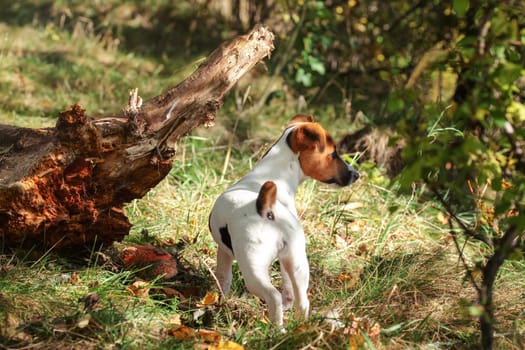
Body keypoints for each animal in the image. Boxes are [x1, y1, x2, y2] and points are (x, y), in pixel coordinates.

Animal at [207, 115, 358, 326]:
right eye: (334, 154)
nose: (356, 174)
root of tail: (268, 211)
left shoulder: (224, 251)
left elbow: (223, 278)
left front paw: (221, 302)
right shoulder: (286, 257)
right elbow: (287, 284)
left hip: (252, 267)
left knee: (273, 296)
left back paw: (276, 328)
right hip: (298, 262)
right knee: (302, 300)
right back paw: (299, 326)